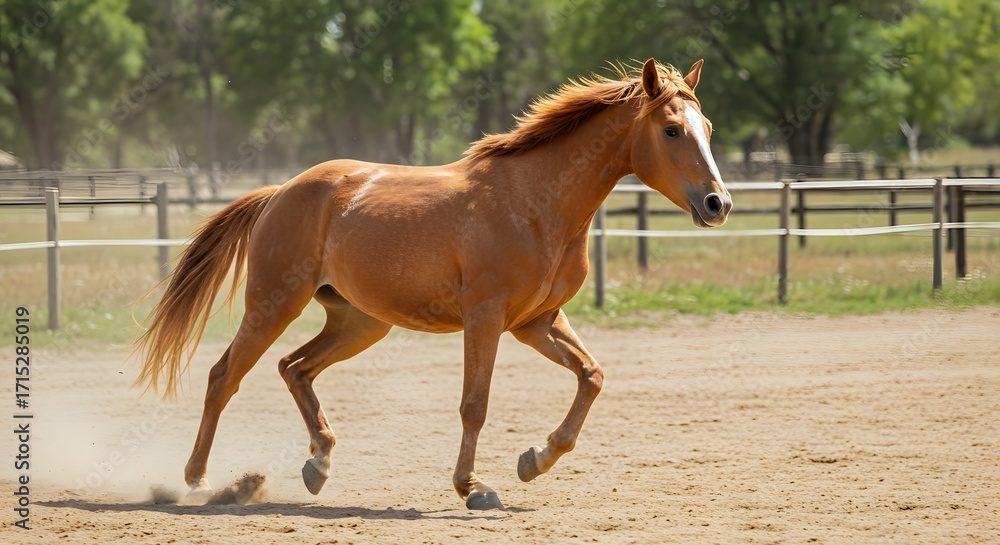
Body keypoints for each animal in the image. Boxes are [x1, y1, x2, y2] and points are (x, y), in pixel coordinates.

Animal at [133, 58, 732, 510]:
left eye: (708, 129)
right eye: (672, 129)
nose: (717, 204)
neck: (537, 203)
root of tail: (281, 191)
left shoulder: (537, 323)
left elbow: (592, 376)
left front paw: (534, 460)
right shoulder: (486, 318)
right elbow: (475, 403)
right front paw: (474, 488)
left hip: (359, 322)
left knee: (294, 367)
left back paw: (318, 464)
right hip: (273, 305)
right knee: (224, 376)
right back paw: (199, 482)